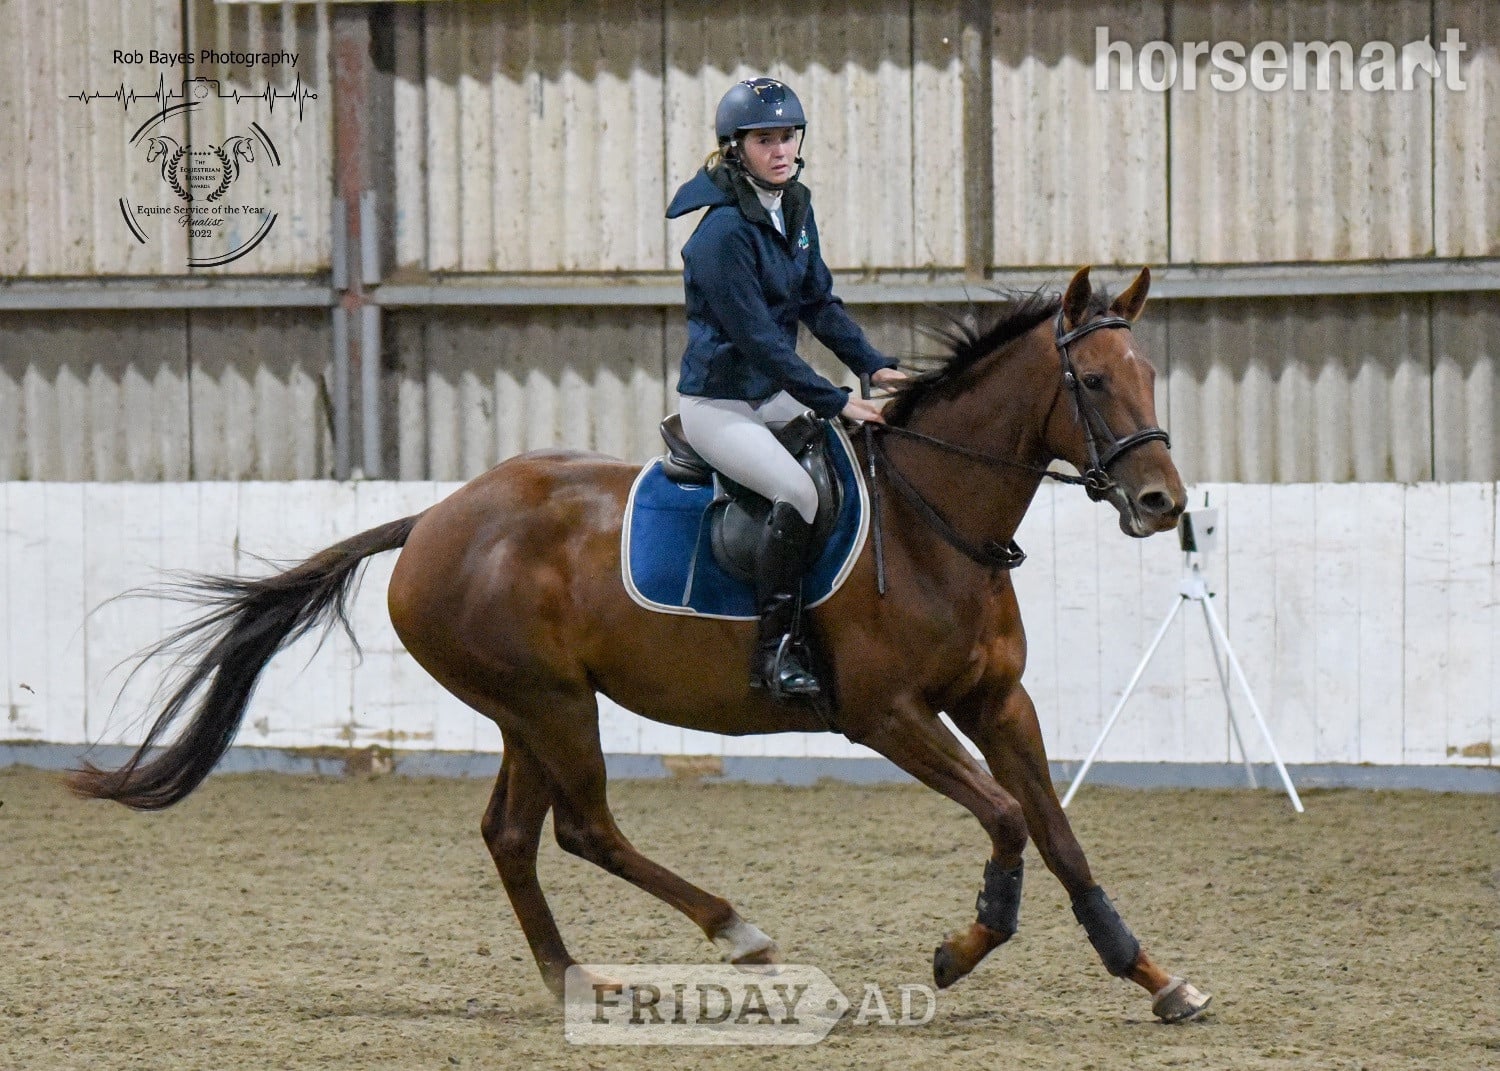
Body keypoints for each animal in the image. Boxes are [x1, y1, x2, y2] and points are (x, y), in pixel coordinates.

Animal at [70, 265, 1211, 1023]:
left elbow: (1057, 831)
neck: (934, 519)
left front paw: (1153, 975)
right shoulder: (887, 715)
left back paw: (578, 979)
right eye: (1093, 384)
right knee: (586, 830)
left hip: (529, 710)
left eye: (1150, 373)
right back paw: (741, 937)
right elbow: (1007, 817)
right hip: (551, 704)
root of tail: (433, 518)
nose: (1162, 504)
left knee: (512, 835)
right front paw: (961, 948)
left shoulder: (997, 702)